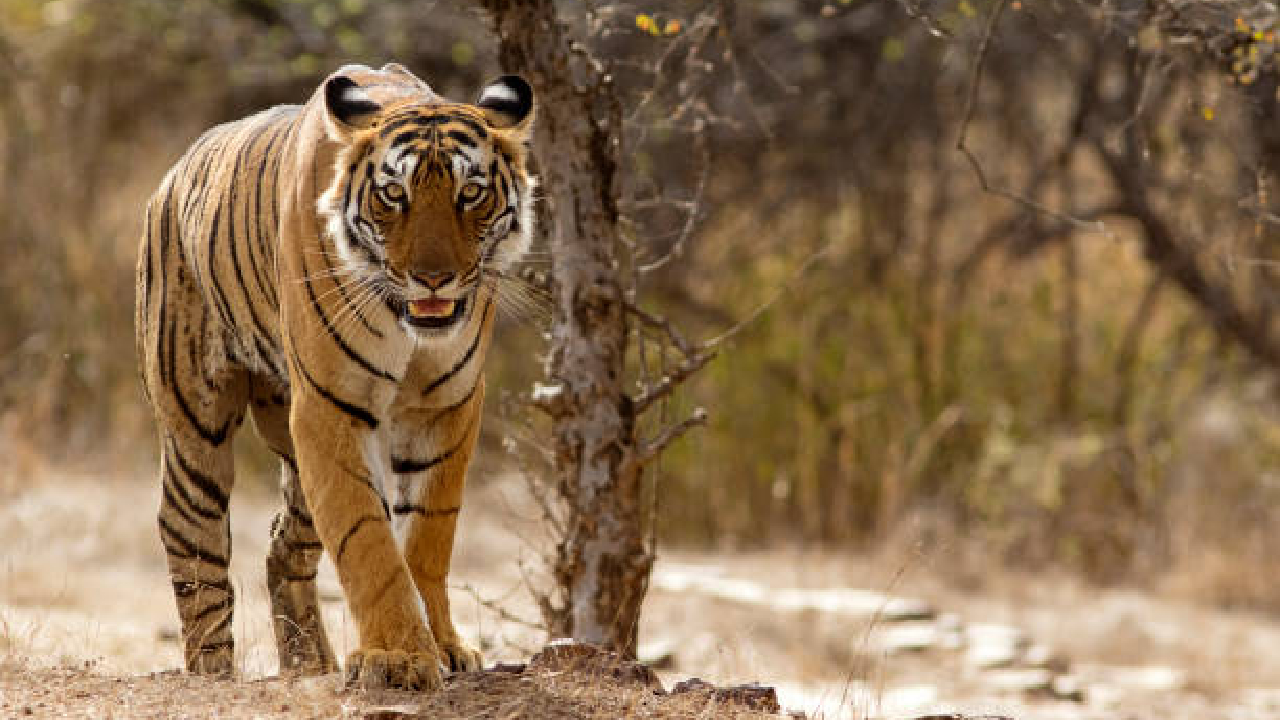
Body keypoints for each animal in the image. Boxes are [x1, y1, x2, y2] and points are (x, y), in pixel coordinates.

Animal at [134, 63, 535, 691]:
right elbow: (366, 537)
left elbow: (427, 535)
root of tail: (174, 174)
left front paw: (442, 646)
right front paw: (397, 656)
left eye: (470, 193)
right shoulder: (330, 407)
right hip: (195, 422)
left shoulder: (447, 406)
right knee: (190, 535)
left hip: (292, 460)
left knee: (283, 543)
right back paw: (212, 670)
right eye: (394, 195)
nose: (433, 279)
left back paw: (308, 663)